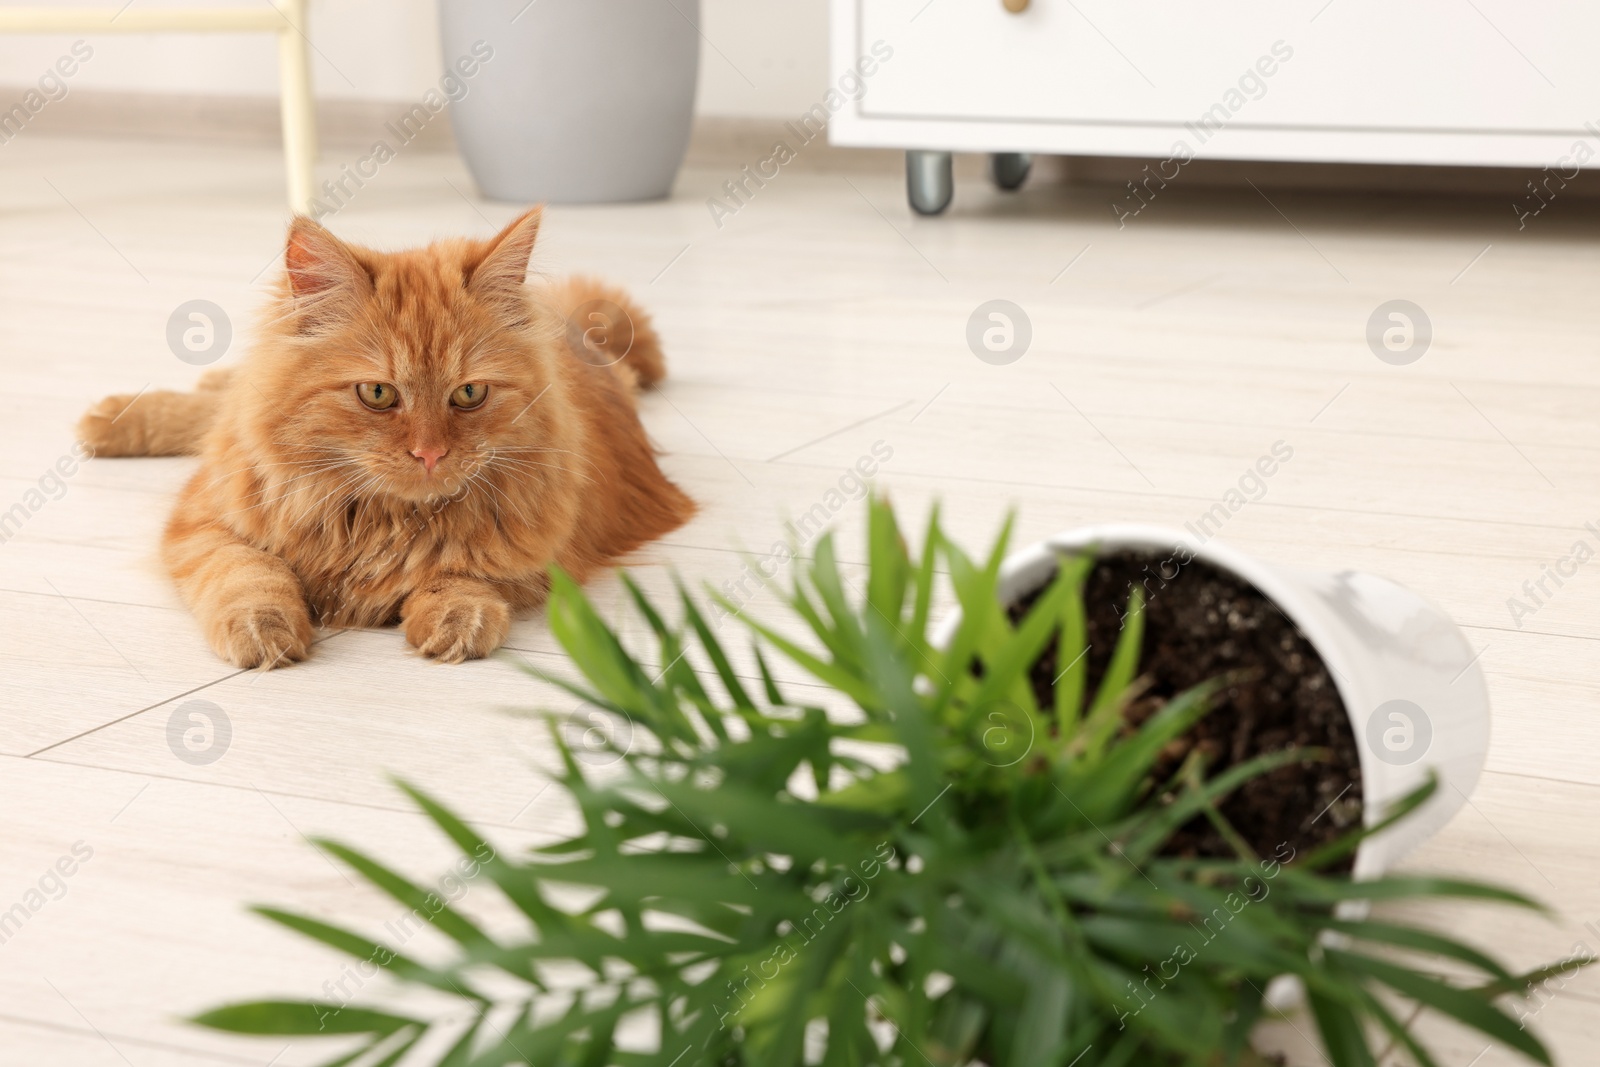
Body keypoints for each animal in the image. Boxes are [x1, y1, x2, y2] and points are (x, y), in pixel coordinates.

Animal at [78, 211, 694, 668]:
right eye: (377, 393)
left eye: (469, 394)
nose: (430, 453)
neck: (379, 520)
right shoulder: (206, 520)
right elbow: (249, 573)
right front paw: (264, 631)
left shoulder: (538, 548)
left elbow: (462, 574)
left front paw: (456, 619)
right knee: (214, 402)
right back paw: (108, 422)